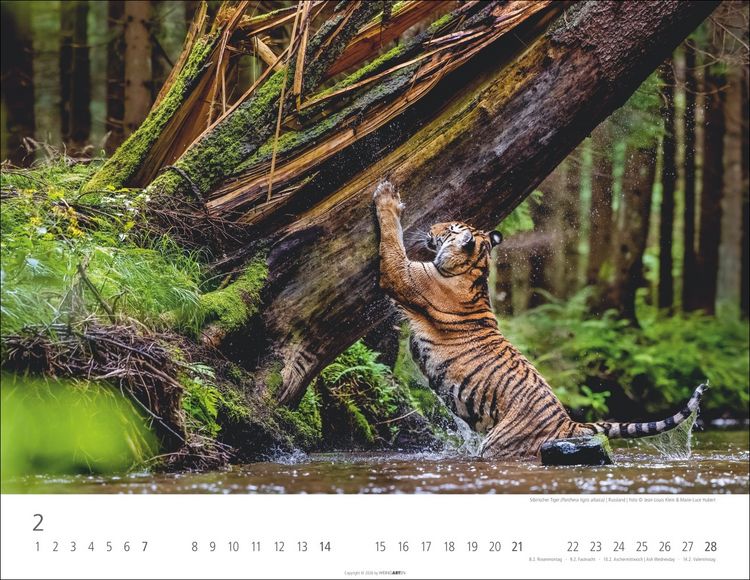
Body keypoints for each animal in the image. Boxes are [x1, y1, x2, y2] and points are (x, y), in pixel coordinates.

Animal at [373, 180, 705, 459]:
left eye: (451, 228)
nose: (433, 225)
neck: (476, 268)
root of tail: (570, 423)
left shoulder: (401, 274)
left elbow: (391, 239)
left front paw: (387, 196)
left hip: (498, 445)